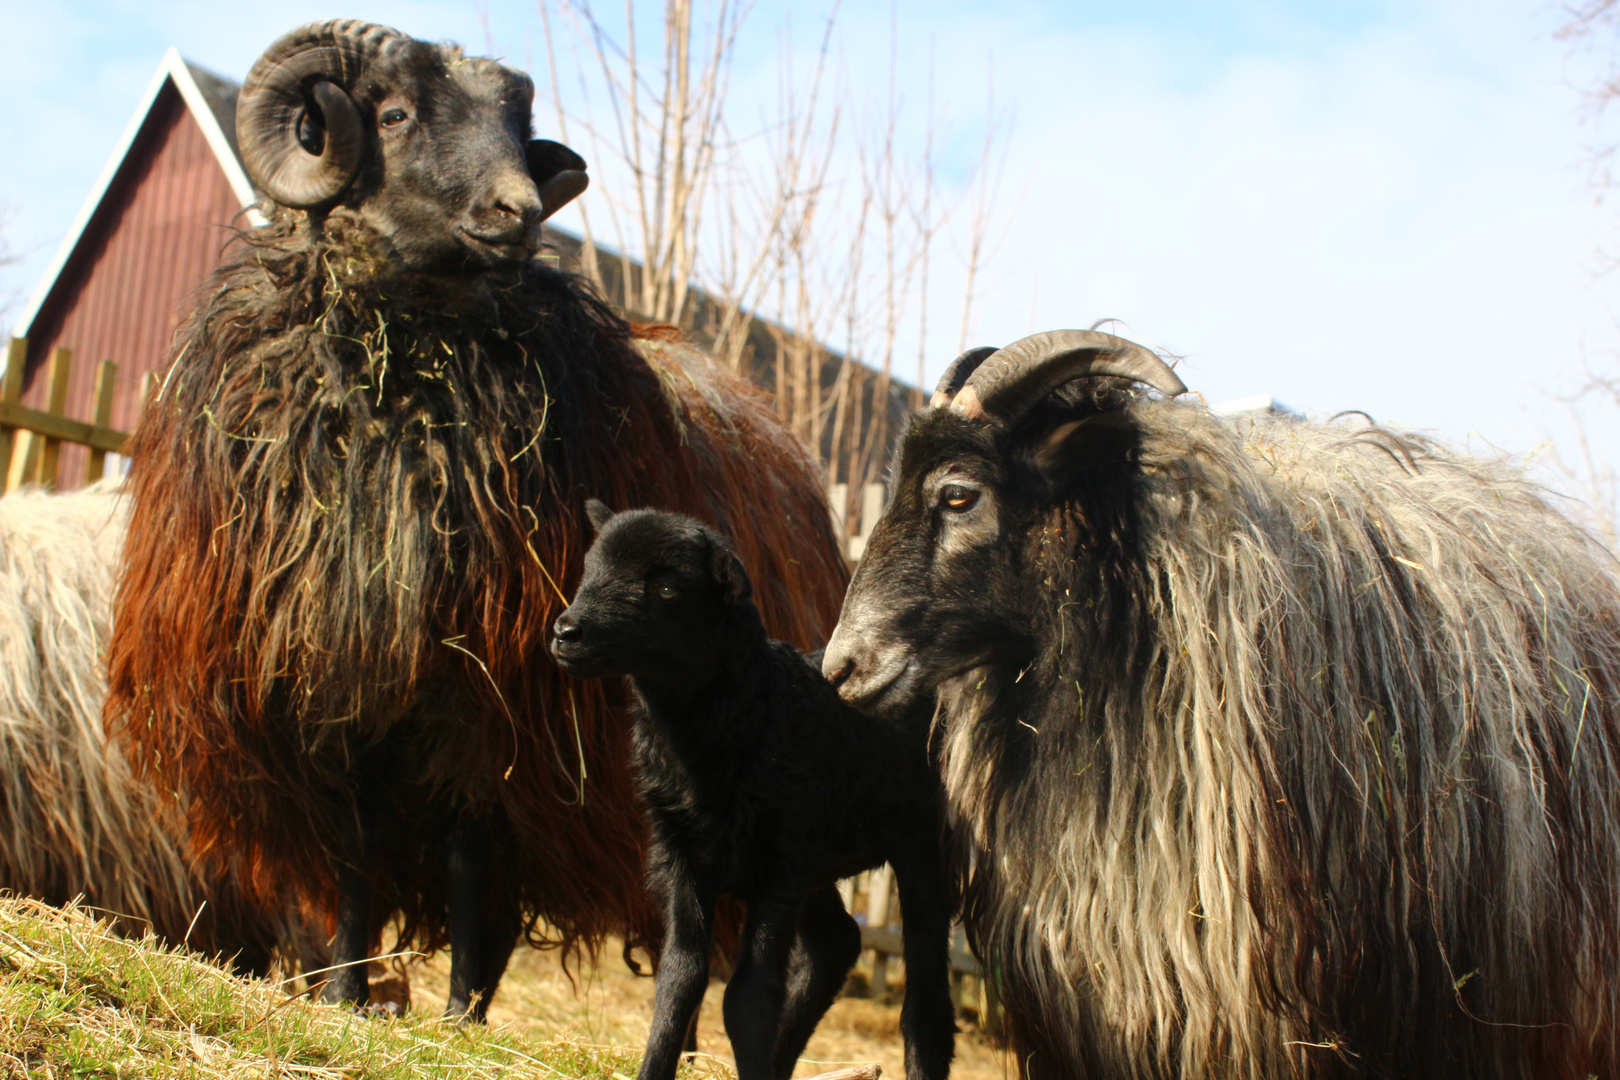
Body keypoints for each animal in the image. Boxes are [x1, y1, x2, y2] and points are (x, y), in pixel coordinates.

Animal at [550, 501, 952, 1080]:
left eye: (667, 590)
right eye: (589, 569)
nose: (566, 633)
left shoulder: (779, 865)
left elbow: (748, 999)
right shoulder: (684, 854)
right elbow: (680, 980)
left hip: (921, 850)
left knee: (926, 1003)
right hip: (814, 860)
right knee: (837, 944)